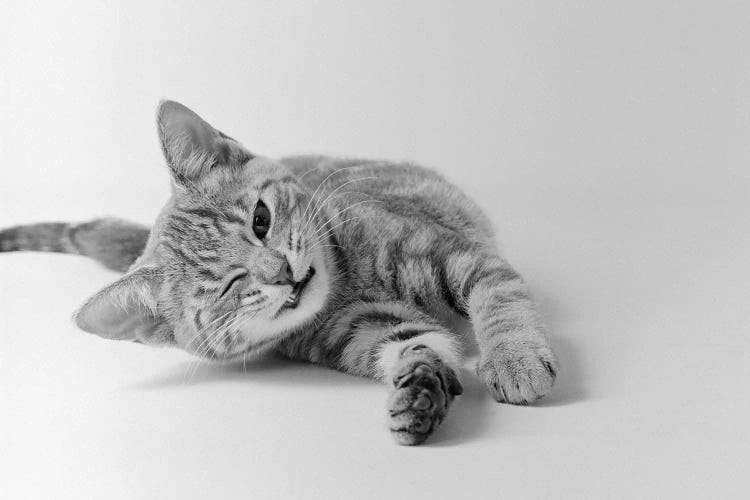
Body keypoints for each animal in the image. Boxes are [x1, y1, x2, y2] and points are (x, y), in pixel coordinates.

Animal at [0, 101, 560, 446]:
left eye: (261, 221)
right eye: (229, 288)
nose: (281, 272)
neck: (344, 284)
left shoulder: (454, 251)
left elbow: (497, 295)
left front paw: (514, 359)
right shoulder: (360, 330)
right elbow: (418, 344)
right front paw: (419, 395)